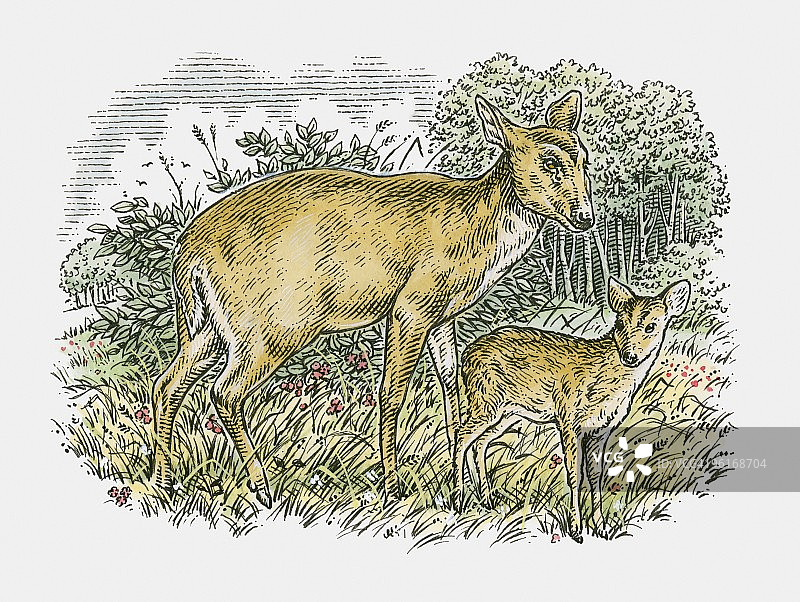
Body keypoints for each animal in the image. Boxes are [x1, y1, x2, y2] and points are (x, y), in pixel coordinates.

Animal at [150, 90, 594, 508]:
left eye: (582, 158)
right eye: (549, 162)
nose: (586, 217)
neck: (477, 230)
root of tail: (185, 251)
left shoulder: (443, 317)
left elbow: (452, 391)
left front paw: (463, 493)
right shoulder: (412, 305)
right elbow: (392, 394)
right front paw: (395, 489)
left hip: (210, 327)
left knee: (167, 384)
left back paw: (164, 483)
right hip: (273, 325)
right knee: (223, 392)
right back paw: (262, 487)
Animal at [454, 277, 691, 542]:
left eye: (651, 326)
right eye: (620, 323)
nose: (630, 356)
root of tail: (465, 355)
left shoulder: (602, 428)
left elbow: (596, 475)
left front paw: (601, 527)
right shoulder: (567, 417)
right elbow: (574, 475)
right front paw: (576, 530)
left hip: (507, 411)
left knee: (480, 442)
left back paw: (488, 501)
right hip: (486, 400)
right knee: (462, 435)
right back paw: (459, 502)